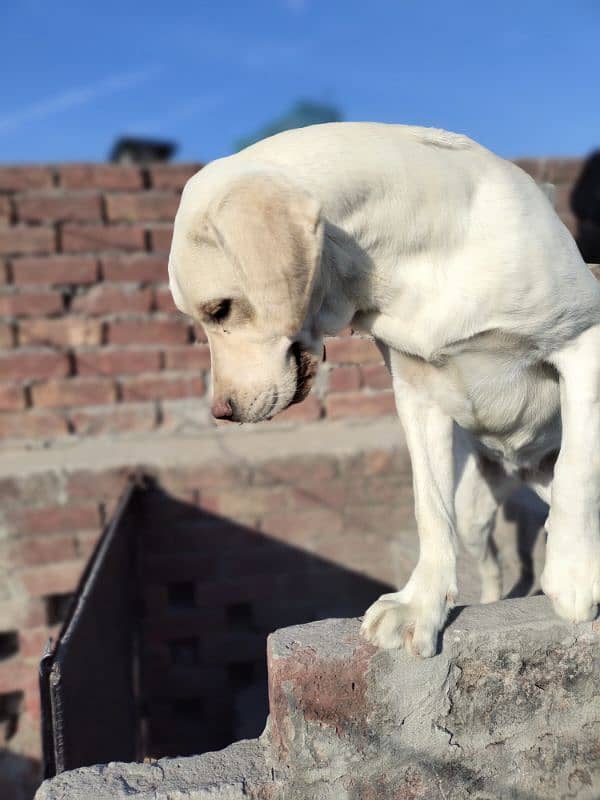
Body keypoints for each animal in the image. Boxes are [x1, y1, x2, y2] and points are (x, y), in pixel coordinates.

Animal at [168, 120, 600, 656]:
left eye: (221, 309)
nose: (220, 412)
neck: (413, 258)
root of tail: (521, 468)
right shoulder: (416, 394)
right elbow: (429, 509)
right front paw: (421, 605)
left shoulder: (583, 343)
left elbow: (577, 471)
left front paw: (573, 573)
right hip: (474, 512)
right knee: (491, 564)